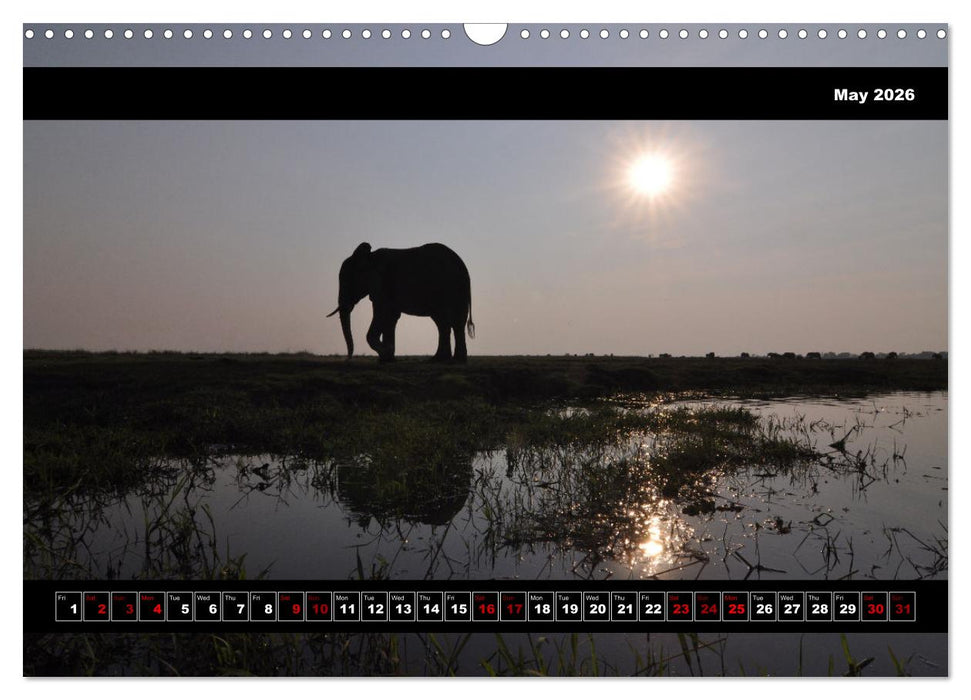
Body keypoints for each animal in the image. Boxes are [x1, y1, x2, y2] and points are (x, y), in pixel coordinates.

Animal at [327, 242, 475, 362]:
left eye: (347, 282)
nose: (347, 359)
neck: (369, 258)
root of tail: (464, 267)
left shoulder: (383, 285)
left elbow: (382, 313)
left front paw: (386, 352)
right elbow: (391, 317)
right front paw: (387, 359)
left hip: (449, 289)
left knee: (451, 322)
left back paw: (452, 361)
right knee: (447, 323)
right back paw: (442, 360)